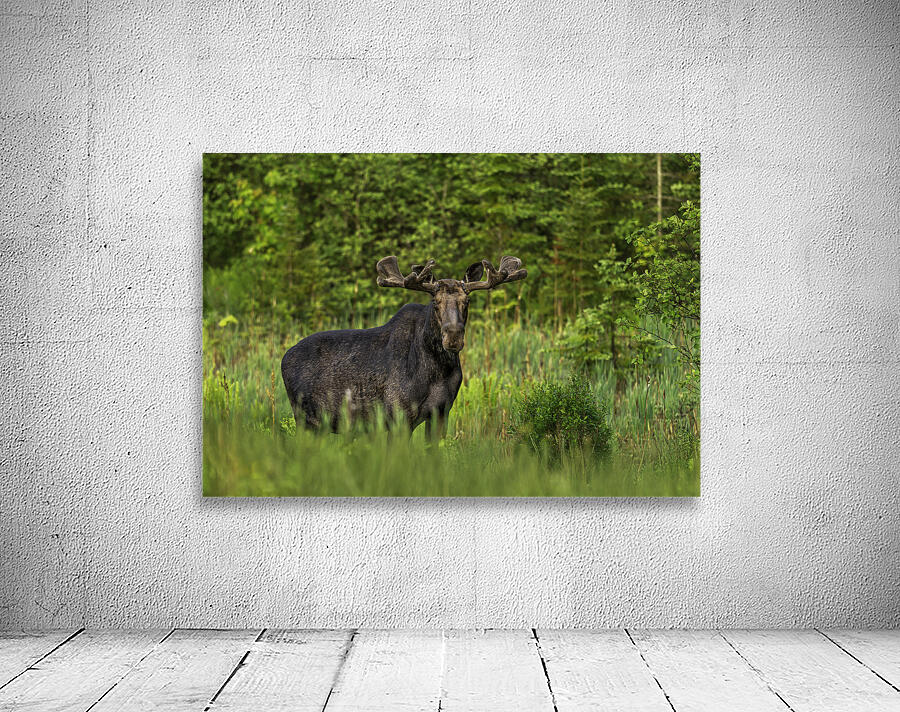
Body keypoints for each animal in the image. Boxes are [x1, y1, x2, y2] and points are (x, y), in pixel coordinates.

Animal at [281, 255, 527, 439]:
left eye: (466, 302)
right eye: (435, 303)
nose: (454, 337)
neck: (437, 371)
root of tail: (284, 359)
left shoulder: (441, 413)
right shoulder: (398, 415)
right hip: (305, 419)